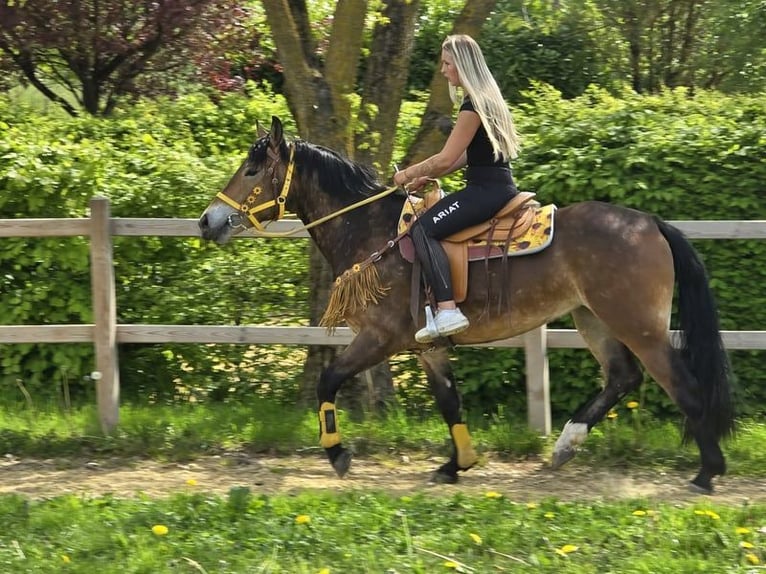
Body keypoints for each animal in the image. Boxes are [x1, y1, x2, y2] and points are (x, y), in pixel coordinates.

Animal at [198, 116, 734, 493]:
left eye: (252, 169)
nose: (208, 221)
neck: (373, 233)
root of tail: (650, 223)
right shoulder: (427, 346)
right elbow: (449, 400)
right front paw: (457, 465)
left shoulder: (379, 338)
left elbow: (328, 380)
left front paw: (337, 454)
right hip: (592, 318)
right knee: (622, 377)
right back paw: (565, 446)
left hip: (636, 324)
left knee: (683, 386)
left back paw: (708, 472)